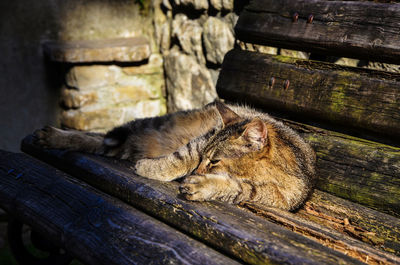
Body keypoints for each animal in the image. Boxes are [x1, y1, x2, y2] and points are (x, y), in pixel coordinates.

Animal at [33, 100, 316, 209]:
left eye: (214, 162)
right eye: (205, 158)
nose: (200, 170)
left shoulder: (271, 196)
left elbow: (235, 188)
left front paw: (202, 185)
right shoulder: (199, 143)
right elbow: (181, 158)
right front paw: (152, 169)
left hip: (130, 145)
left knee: (101, 143)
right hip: (147, 129)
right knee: (98, 138)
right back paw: (54, 136)